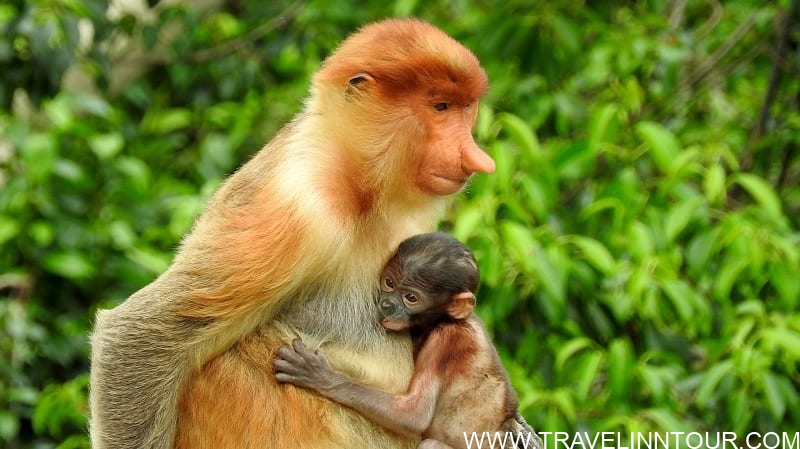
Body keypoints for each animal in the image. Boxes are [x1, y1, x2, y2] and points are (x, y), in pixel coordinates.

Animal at [90, 18, 496, 448]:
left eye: (465, 109)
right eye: (440, 107)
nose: (476, 158)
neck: (357, 183)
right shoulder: (297, 208)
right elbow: (138, 335)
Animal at [276, 233, 544, 448]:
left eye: (411, 298)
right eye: (389, 283)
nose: (387, 304)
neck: (445, 320)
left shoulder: (445, 340)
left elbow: (414, 414)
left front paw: (320, 376)